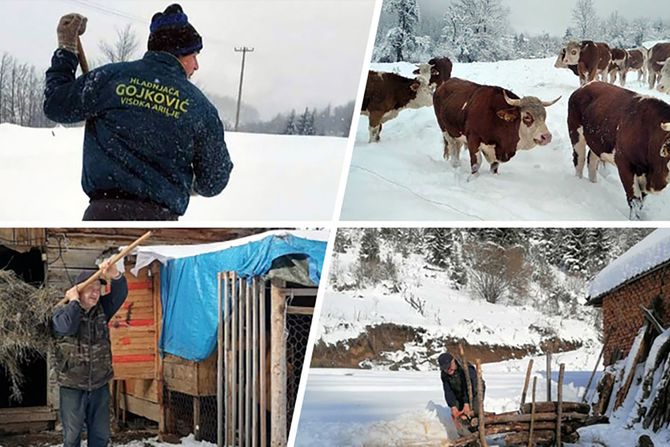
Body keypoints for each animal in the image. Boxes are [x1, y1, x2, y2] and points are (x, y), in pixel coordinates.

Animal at [568, 82, 670, 220]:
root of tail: (586, 86)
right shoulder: (624, 164)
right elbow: (635, 201)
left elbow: (641, 202)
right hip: (576, 134)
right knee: (579, 160)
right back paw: (579, 182)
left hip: (597, 142)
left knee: (592, 161)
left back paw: (593, 183)